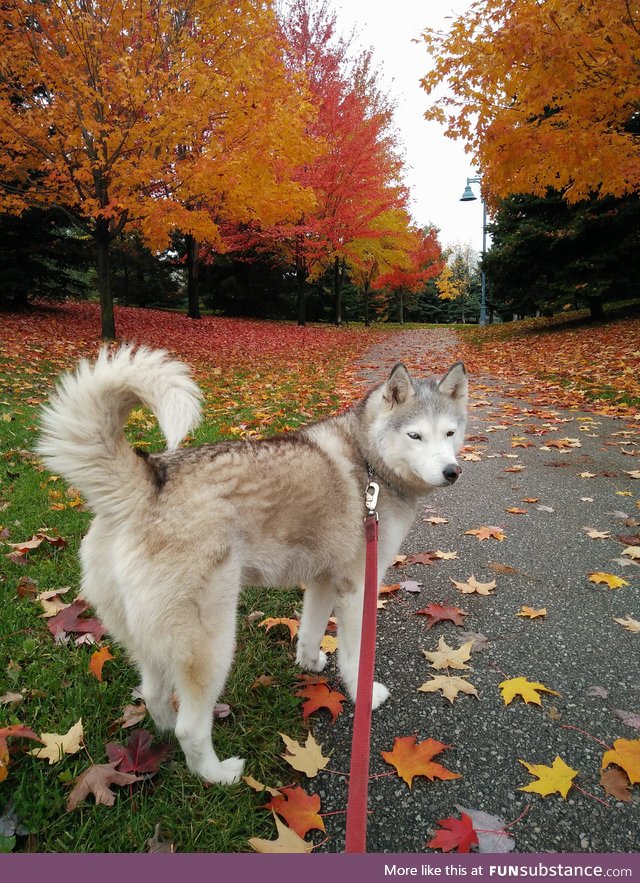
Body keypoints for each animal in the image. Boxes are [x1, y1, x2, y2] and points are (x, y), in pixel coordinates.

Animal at [37, 348, 468, 784]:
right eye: (415, 436)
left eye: (449, 433)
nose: (452, 472)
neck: (369, 461)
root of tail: (150, 482)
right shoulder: (357, 589)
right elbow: (354, 657)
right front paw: (365, 694)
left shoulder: (324, 580)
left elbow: (310, 631)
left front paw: (309, 663)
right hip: (211, 644)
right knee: (191, 728)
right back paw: (216, 774)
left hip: (150, 640)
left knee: (155, 696)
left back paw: (165, 731)